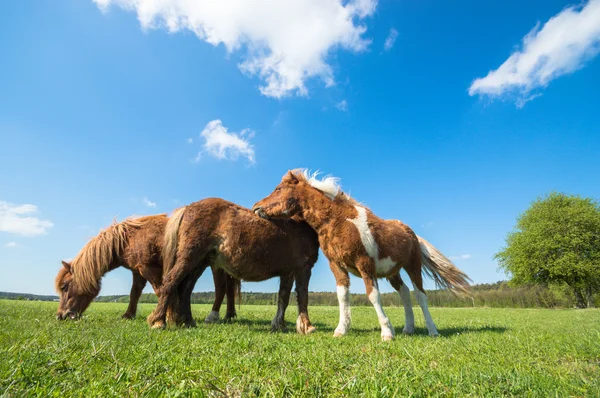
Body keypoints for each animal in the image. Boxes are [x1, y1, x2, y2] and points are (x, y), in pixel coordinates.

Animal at [53, 213, 237, 324]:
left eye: (65, 286)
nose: (60, 315)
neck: (129, 238)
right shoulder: (138, 271)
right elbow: (134, 293)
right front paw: (128, 315)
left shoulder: (148, 268)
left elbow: (160, 289)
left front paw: (165, 316)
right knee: (229, 290)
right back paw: (229, 315)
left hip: (216, 266)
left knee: (221, 289)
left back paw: (213, 316)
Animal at [147, 197, 322, 334]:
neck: (302, 224)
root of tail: (188, 207)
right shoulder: (303, 269)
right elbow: (303, 296)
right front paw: (307, 327)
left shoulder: (288, 273)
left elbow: (283, 298)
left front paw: (280, 325)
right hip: (190, 257)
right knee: (171, 282)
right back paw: (158, 321)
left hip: (199, 263)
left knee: (185, 289)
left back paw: (188, 321)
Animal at [251, 169, 472, 340]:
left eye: (278, 189)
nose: (255, 207)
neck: (339, 221)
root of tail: (411, 233)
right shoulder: (337, 265)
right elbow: (342, 295)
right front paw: (341, 330)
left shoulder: (365, 264)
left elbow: (373, 295)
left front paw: (386, 333)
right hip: (393, 272)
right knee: (404, 293)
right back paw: (408, 328)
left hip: (412, 266)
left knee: (420, 295)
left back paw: (432, 330)